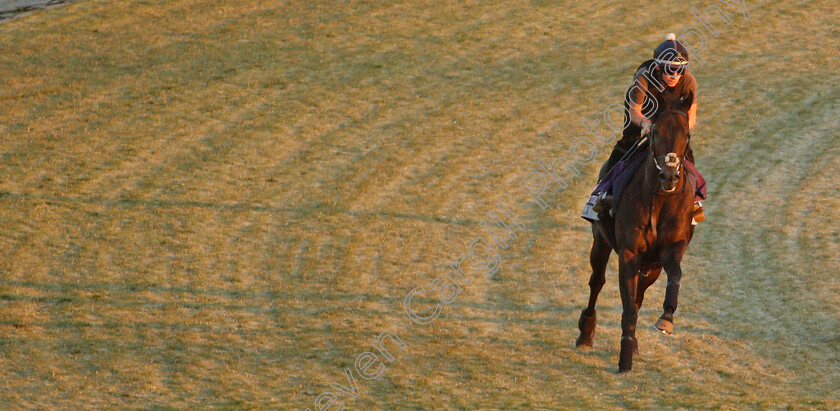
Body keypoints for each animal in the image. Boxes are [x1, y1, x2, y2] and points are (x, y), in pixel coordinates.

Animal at [576, 92, 700, 374]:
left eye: (686, 133)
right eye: (654, 131)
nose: (669, 176)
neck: (660, 199)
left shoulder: (670, 250)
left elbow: (674, 276)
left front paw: (666, 318)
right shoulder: (629, 253)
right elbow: (628, 306)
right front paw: (625, 358)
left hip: (651, 266)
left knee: (640, 293)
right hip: (600, 242)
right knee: (597, 282)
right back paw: (585, 332)